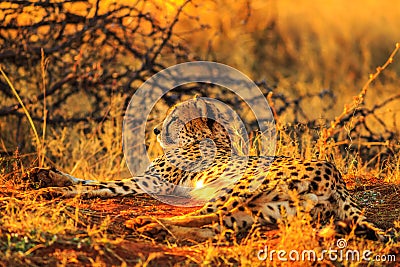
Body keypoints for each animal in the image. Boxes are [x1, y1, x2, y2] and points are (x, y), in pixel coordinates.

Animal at [29, 98, 386, 243]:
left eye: (174, 118)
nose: (156, 130)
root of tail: (335, 174)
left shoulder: (152, 181)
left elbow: (97, 185)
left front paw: (53, 190)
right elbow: (87, 179)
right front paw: (45, 175)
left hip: (239, 189)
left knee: (205, 215)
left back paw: (148, 223)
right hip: (267, 209)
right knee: (217, 228)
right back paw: (159, 230)